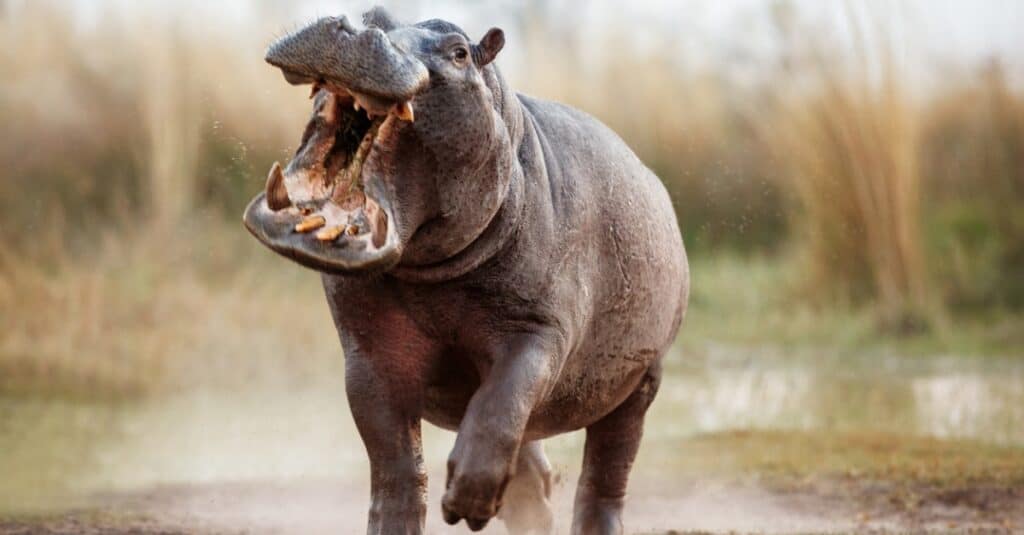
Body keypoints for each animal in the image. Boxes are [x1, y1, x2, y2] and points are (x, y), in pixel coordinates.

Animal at [242, 8, 688, 532]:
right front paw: (414, 516)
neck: (430, 273)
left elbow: (503, 400)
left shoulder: (539, 329)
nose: (351, 28)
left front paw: (468, 504)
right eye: (374, 15)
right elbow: (395, 463)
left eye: (458, 51)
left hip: (641, 381)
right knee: (530, 459)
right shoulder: (368, 354)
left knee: (606, 471)